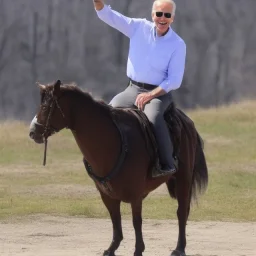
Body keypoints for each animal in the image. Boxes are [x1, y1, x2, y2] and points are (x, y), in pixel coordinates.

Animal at [29, 80, 208, 256]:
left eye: (45, 107)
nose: (32, 132)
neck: (113, 142)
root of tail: (186, 121)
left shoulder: (135, 194)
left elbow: (136, 221)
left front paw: (138, 250)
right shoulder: (107, 194)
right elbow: (115, 219)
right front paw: (111, 248)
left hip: (184, 178)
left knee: (182, 211)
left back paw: (179, 248)